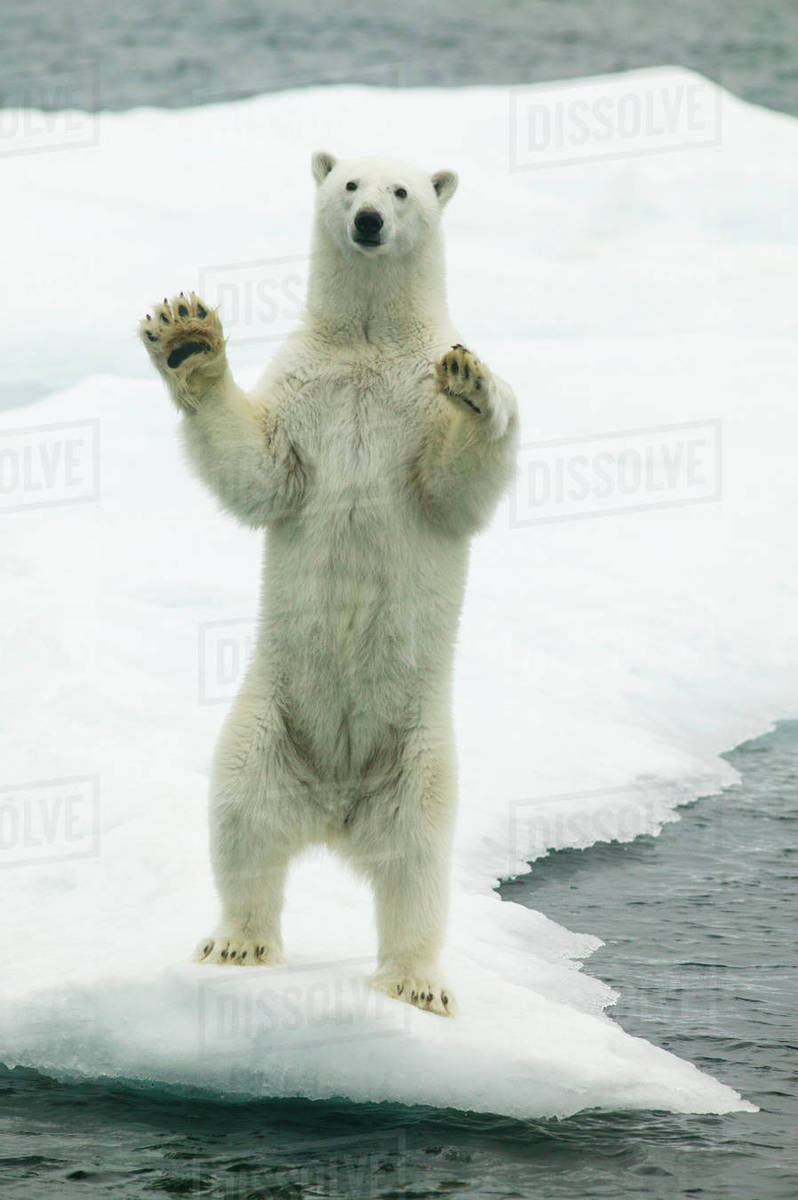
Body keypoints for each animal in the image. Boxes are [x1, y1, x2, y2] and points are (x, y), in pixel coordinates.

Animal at [139, 152, 519, 1016]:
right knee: (241, 818)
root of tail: (337, 810)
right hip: (265, 720)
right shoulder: (304, 392)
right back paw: (237, 939)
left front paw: (472, 380)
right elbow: (259, 472)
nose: (370, 221)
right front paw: (185, 336)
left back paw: (414, 982)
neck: (369, 344)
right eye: (349, 185)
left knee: (417, 862)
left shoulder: (409, 406)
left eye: (403, 190)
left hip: (420, 749)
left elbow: (454, 485)